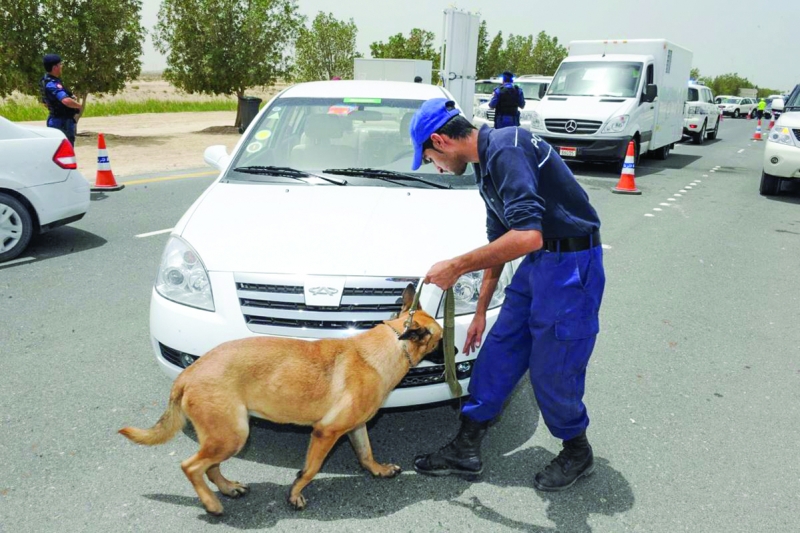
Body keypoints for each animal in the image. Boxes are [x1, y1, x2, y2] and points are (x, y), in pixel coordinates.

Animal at [120, 284, 444, 512]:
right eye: (441, 339)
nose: (454, 350)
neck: (383, 349)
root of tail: (187, 374)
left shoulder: (355, 427)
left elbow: (366, 453)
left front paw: (378, 470)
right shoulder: (325, 432)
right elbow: (311, 469)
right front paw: (295, 493)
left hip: (224, 436)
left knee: (209, 467)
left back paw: (227, 488)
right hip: (233, 435)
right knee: (191, 466)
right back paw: (212, 504)